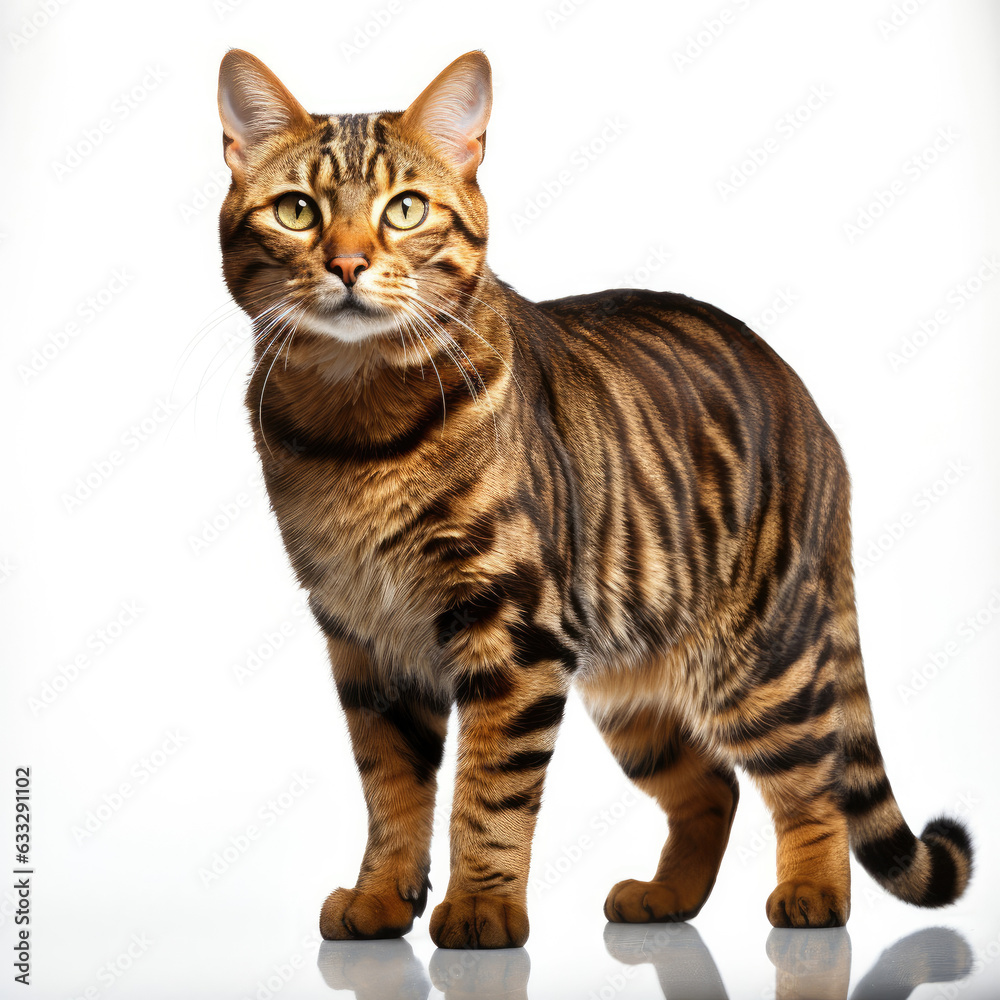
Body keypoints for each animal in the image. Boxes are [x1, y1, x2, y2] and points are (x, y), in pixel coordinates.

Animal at [215, 50, 972, 948]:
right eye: (298, 211)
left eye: (405, 209)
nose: (348, 263)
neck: (356, 426)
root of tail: (809, 405)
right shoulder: (366, 642)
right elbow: (391, 790)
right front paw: (381, 898)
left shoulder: (514, 630)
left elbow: (489, 791)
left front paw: (481, 907)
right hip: (633, 689)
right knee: (712, 786)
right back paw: (666, 896)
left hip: (762, 661)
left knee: (811, 781)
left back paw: (812, 895)